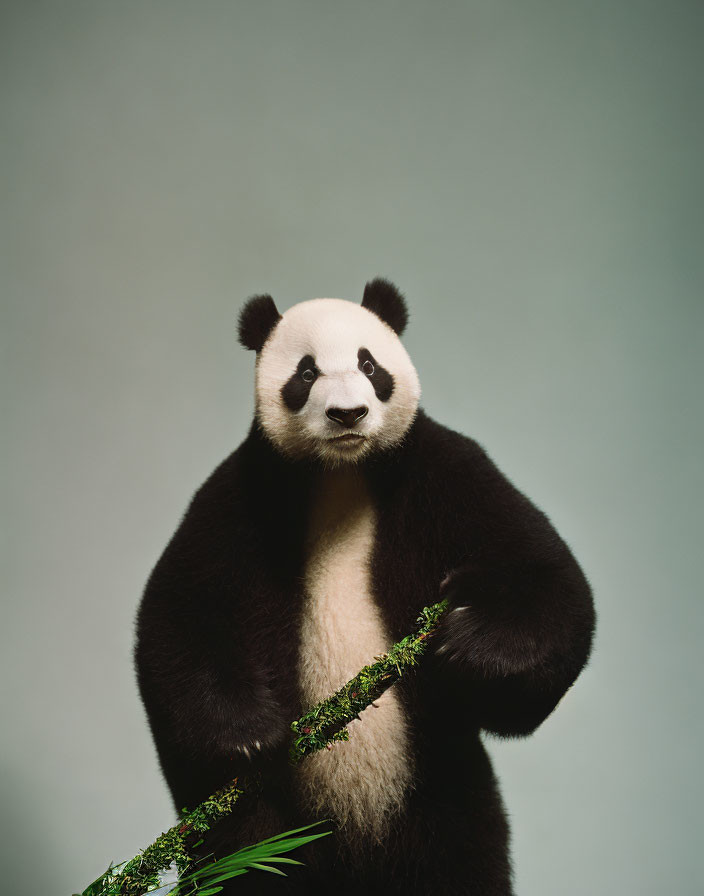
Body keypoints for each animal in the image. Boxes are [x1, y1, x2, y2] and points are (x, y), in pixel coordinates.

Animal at [133, 280, 592, 896]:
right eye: (305, 373)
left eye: (369, 364)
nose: (347, 412)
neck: (341, 473)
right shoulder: (242, 493)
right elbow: (184, 613)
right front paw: (249, 736)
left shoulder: (443, 469)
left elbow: (543, 574)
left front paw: (469, 643)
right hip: (274, 828)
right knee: (250, 855)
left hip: (445, 794)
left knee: (465, 858)